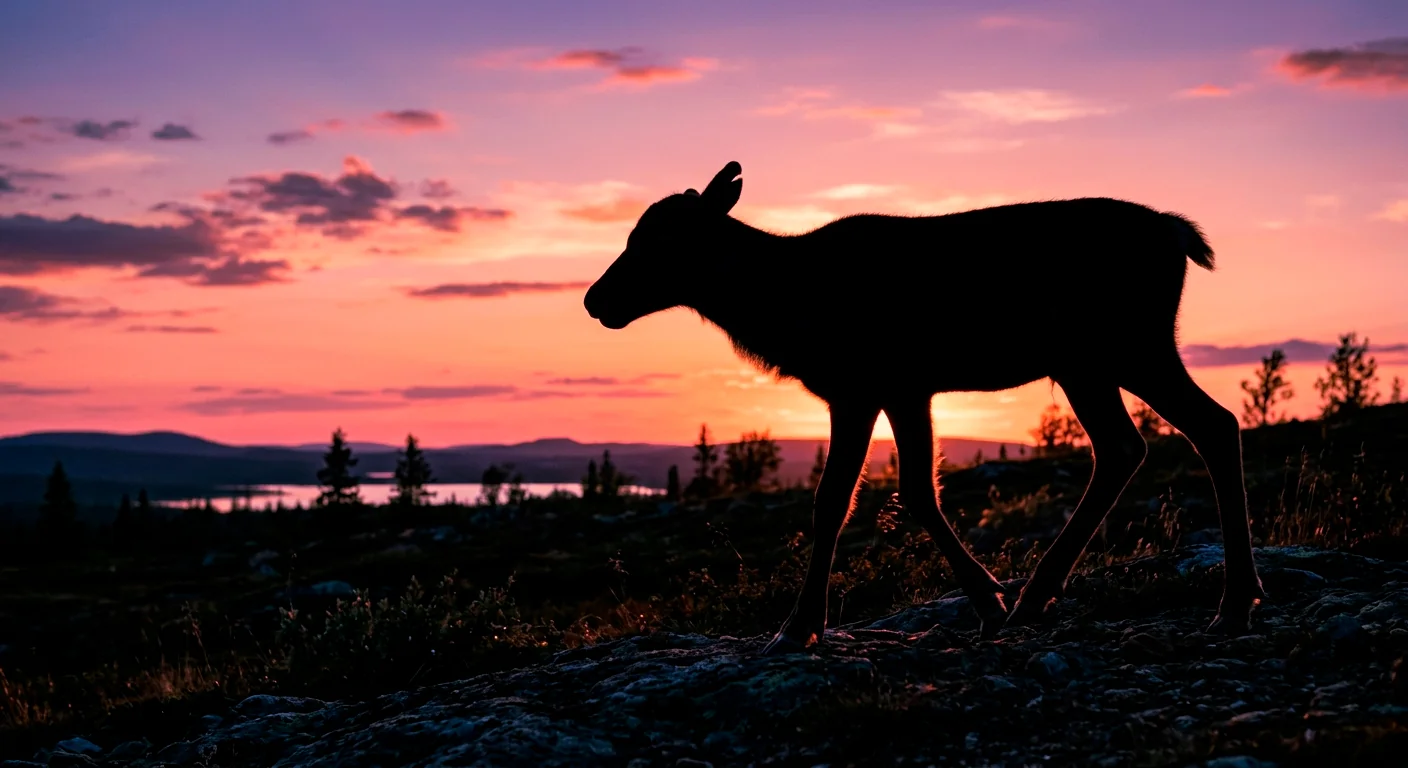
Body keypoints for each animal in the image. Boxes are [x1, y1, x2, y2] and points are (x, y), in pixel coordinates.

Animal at [584, 161, 1265, 654]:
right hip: (1087, 364)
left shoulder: (858, 388)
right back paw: (1038, 595)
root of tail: (1178, 233)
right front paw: (989, 602)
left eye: (660, 240)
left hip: (1131, 345)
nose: (595, 300)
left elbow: (833, 501)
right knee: (1126, 446)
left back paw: (1234, 603)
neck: (783, 306)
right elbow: (914, 491)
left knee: (1212, 424)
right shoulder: (906, 390)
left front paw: (797, 627)